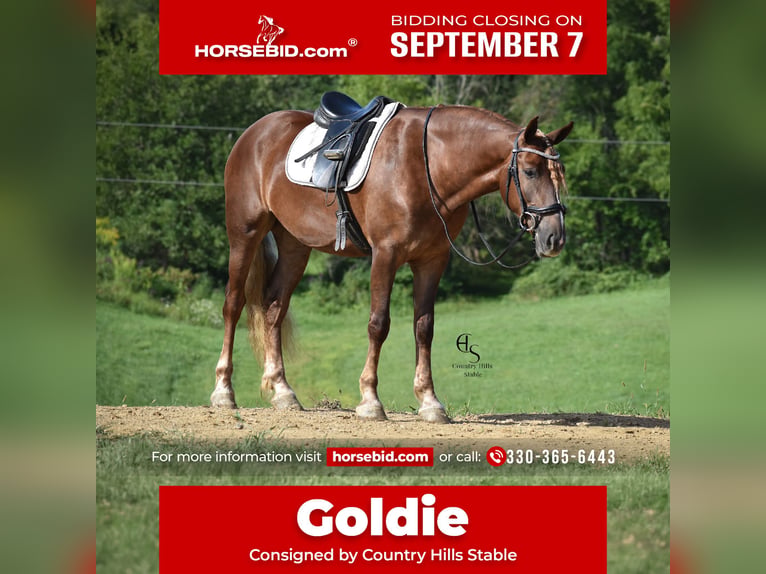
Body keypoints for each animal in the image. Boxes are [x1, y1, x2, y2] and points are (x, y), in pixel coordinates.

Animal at [211, 102, 573, 423]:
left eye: (560, 174)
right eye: (530, 171)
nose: (554, 238)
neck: (427, 167)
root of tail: (254, 133)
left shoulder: (432, 260)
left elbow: (424, 327)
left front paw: (430, 402)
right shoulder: (386, 255)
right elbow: (379, 324)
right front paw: (370, 401)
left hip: (295, 246)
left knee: (274, 307)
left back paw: (283, 392)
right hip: (244, 234)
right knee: (233, 304)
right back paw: (223, 392)